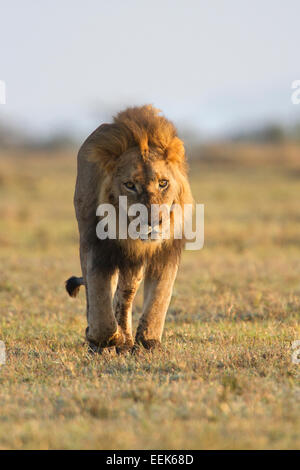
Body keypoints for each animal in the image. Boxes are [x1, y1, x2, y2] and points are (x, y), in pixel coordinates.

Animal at [64, 103, 193, 352]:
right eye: (130, 185)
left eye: (163, 183)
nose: (152, 224)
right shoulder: (96, 246)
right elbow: (99, 297)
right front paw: (102, 338)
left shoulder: (166, 251)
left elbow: (159, 297)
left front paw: (149, 341)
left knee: (125, 295)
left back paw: (127, 340)